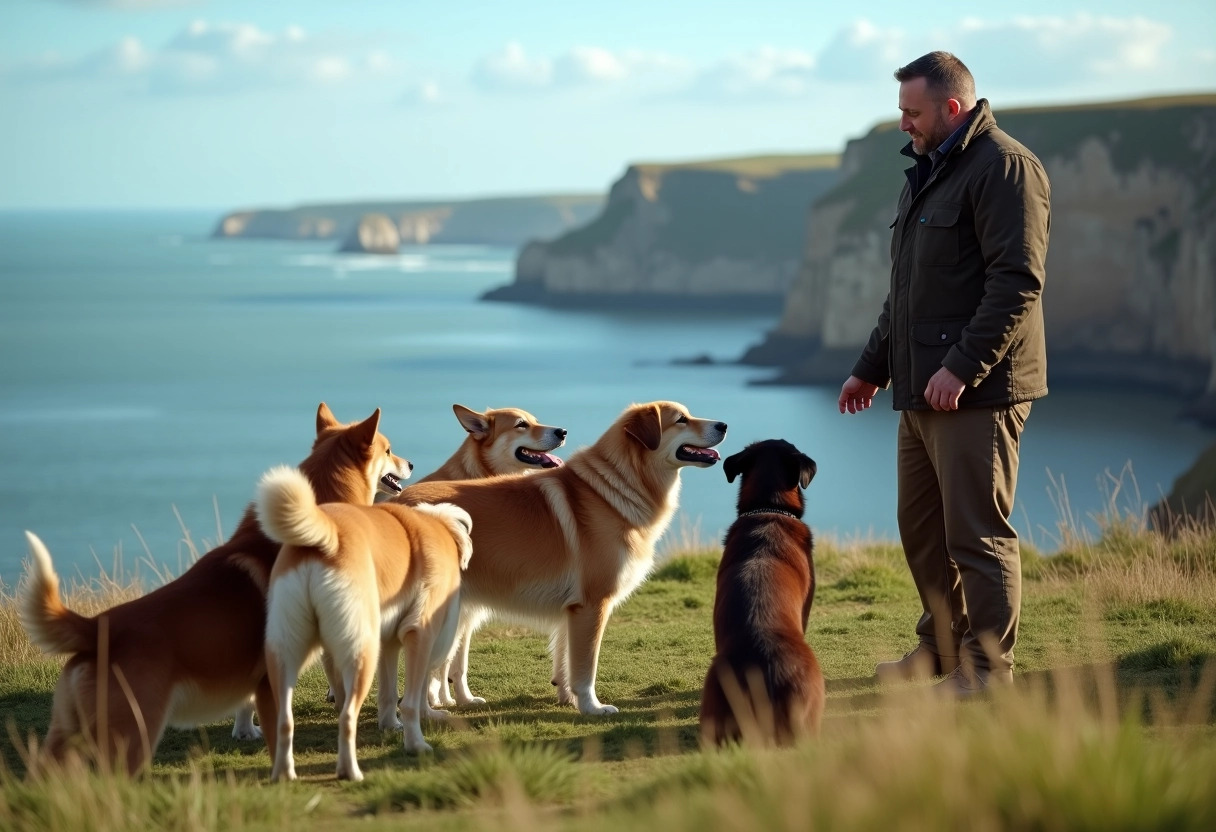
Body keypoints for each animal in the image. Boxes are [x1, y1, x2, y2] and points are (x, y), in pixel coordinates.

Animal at [259, 467, 471, 778]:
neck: (437, 528)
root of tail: (327, 535)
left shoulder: (389, 642)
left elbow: (389, 693)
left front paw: (391, 725)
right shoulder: (419, 632)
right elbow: (412, 698)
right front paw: (416, 740)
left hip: (285, 652)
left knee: (285, 720)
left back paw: (284, 775)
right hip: (361, 653)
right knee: (347, 716)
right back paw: (351, 771)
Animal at [398, 401, 724, 715]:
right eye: (681, 419)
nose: (723, 425)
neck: (612, 491)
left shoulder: (572, 611)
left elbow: (566, 661)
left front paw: (569, 699)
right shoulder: (592, 606)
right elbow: (585, 668)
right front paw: (592, 707)